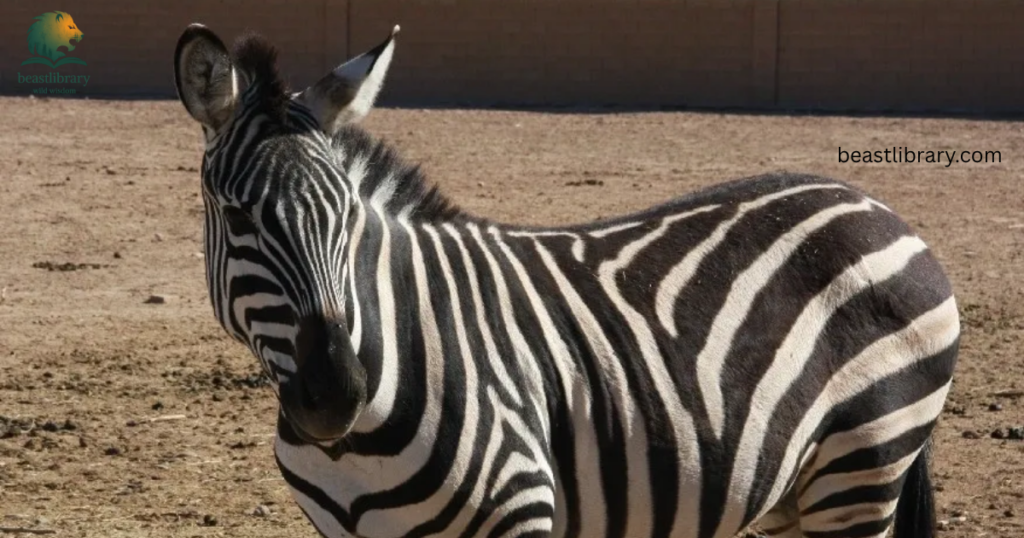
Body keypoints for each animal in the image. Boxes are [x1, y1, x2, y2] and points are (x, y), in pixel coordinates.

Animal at [173, 22, 960, 538]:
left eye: (348, 220)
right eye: (237, 216)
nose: (336, 393)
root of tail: (872, 204)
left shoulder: (522, 506)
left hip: (864, 466)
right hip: (795, 490)